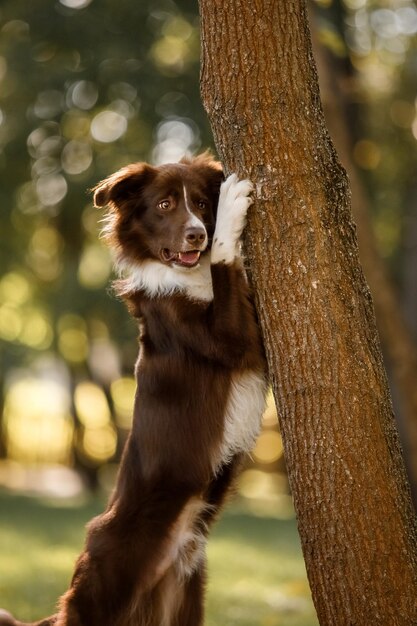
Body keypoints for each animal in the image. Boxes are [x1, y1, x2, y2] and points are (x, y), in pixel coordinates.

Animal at [0, 152, 266, 624]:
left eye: (200, 202)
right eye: (164, 205)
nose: (197, 233)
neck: (184, 275)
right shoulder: (233, 339)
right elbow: (224, 262)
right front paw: (233, 210)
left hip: (185, 597)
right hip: (102, 590)